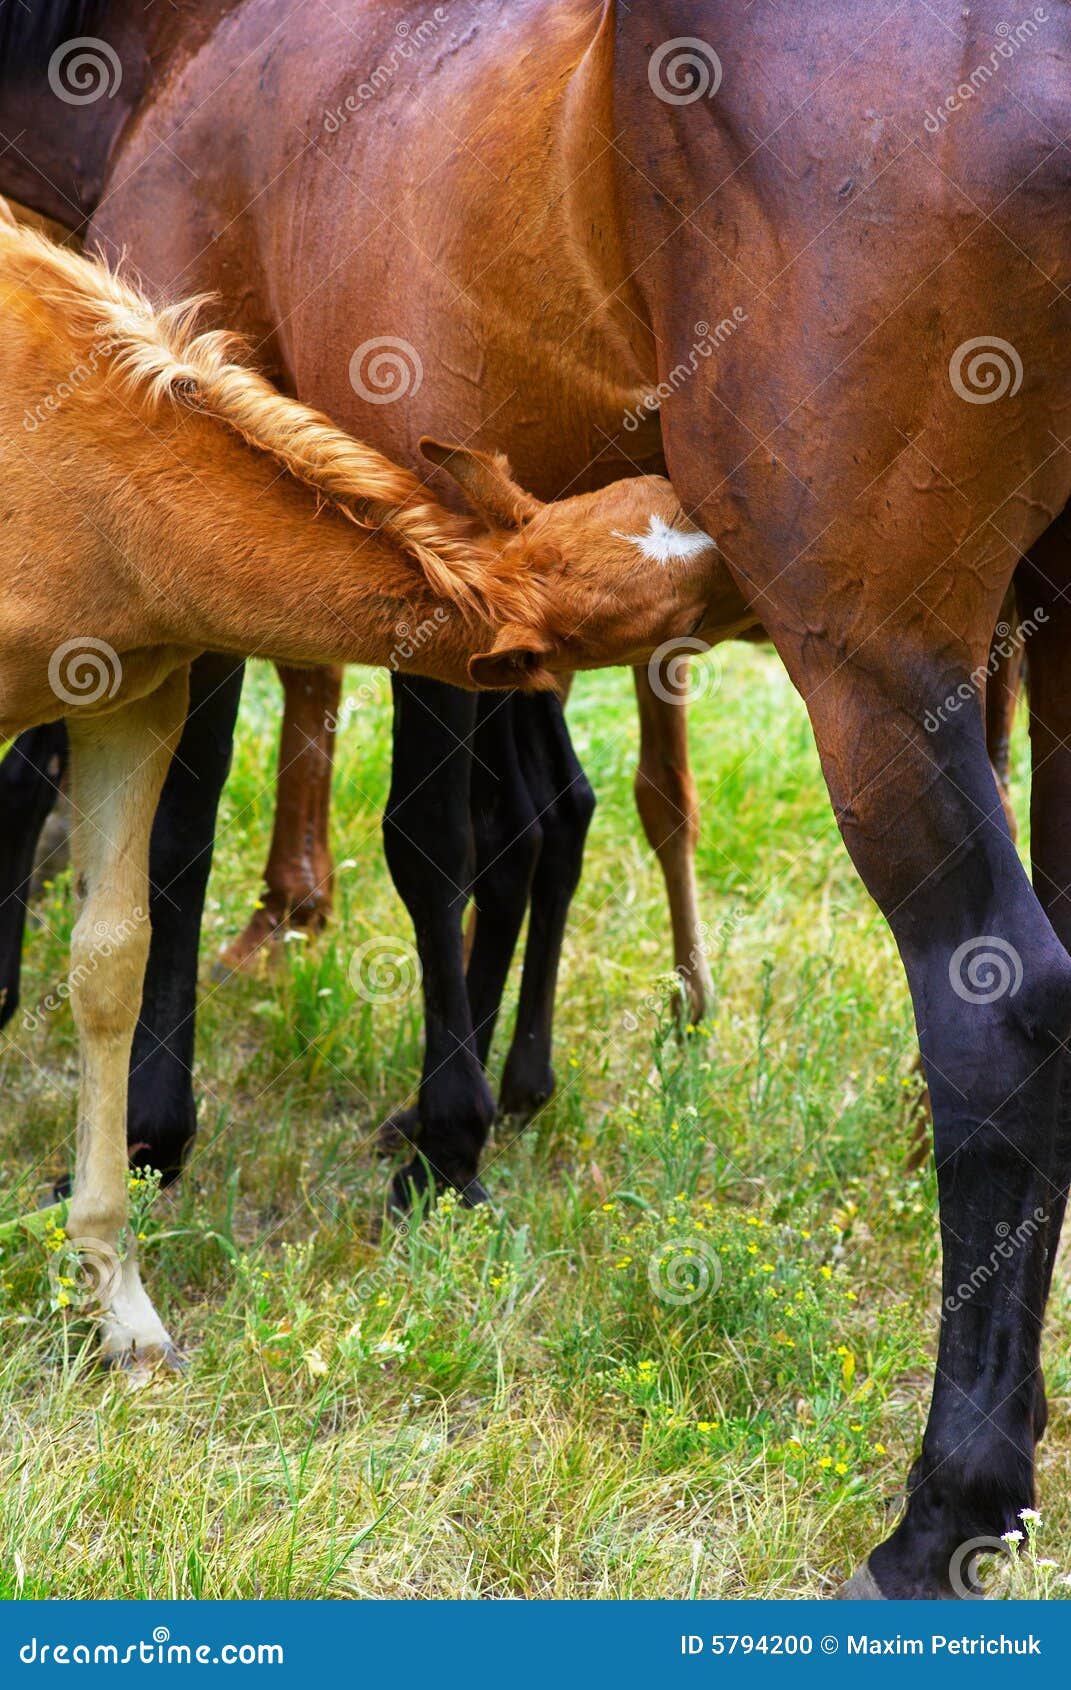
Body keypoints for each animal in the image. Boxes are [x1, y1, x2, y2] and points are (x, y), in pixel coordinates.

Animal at [4, 0, 1071, 1598]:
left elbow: (281, 845)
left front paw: (226, 1127)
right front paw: (464, 1111)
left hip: (876, 667)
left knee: (992, 1004)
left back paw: (948, 1504)